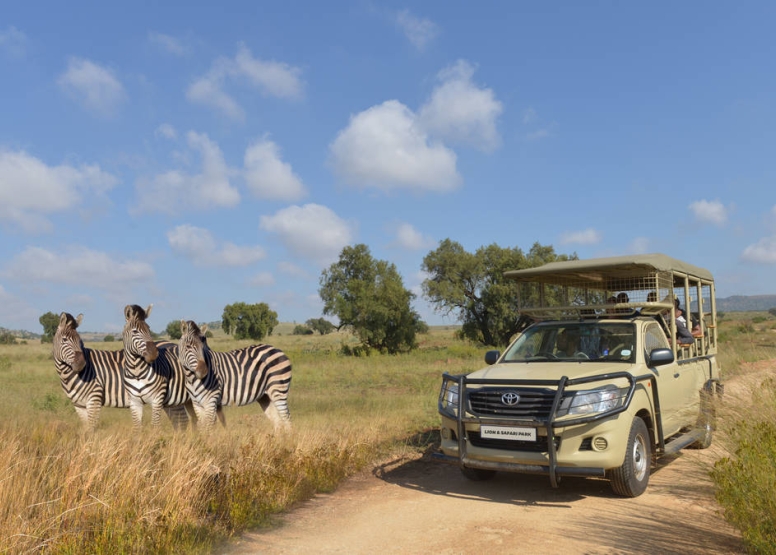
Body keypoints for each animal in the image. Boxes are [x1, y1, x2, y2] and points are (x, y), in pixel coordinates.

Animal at [52, 310, 191, 432]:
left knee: (182, 421)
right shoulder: (79, 405)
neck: (67, 375)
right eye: (64, 339)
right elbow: (86, 429)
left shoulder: (94, 399)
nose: (81, 363)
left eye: (79, 340)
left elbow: (91, 430)